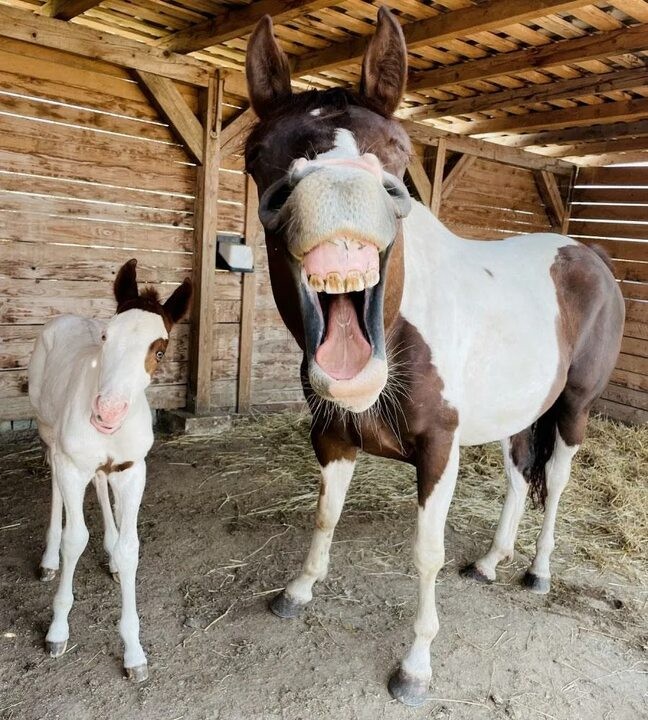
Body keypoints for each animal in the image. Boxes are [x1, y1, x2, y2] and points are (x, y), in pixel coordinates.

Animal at [28, 258, 190, 680]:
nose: (108, 413)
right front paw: (57, 630)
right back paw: (49, 560)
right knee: (55, 482)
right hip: (48, 431)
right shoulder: (72, 465)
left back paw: (111, 554)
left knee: (101, 483)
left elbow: (131, 547)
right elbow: (74, 539)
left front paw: (134, 652)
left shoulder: (133, 471)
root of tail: (65, 317)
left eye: (161, 350)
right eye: (106, 336)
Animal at [242, 8, 624, 704]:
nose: (338, 194)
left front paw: (415, 666)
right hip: (516, 413)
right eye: (258, 154)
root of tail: (590, 256)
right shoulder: (332, 436)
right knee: (518, 476)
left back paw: (538, 572)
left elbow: (426, 553)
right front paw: (299, 591)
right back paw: (493, 561)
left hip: (575, 407)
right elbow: (324, 516)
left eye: (399, 150)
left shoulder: (439, 449)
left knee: (554, 482)